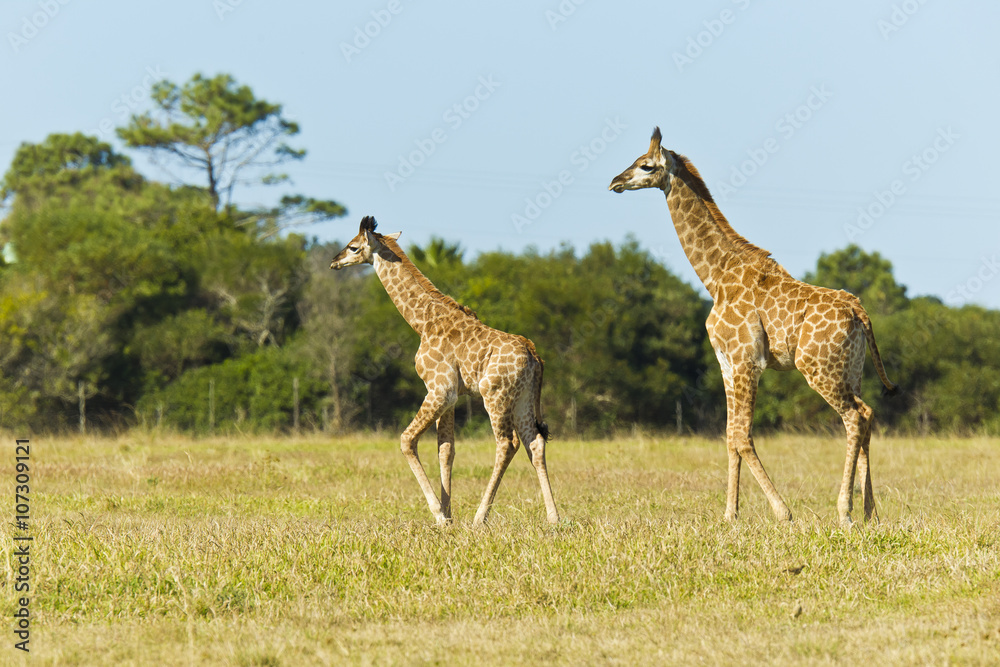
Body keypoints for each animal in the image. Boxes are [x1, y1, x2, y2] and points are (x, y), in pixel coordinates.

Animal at [330, 216, 559, 526]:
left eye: (353, 247)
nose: (334, 261)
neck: (422, 322)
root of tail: (534, 355)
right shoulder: (451, 395)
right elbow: (446, 449)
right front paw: (448, 516)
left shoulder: (439, 389)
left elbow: (407, 440)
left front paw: (439, 513)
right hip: (523, 398)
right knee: (534, 443)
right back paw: (554, 518)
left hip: (495, 395)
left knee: (507, 444)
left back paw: (479, 519)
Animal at [609, 128, 897, 525]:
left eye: (646, 165)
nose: (615, 182)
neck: (715, 278)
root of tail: (859, 311)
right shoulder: (726, 363)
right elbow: (730, 436)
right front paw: (730, 514)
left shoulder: (747, 360)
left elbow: (744, 437)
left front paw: (782, 512)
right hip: (851, 369)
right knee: (867, 413)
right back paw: (871, 513)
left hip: (818, 368)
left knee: (853, 418)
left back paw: (845, 512)